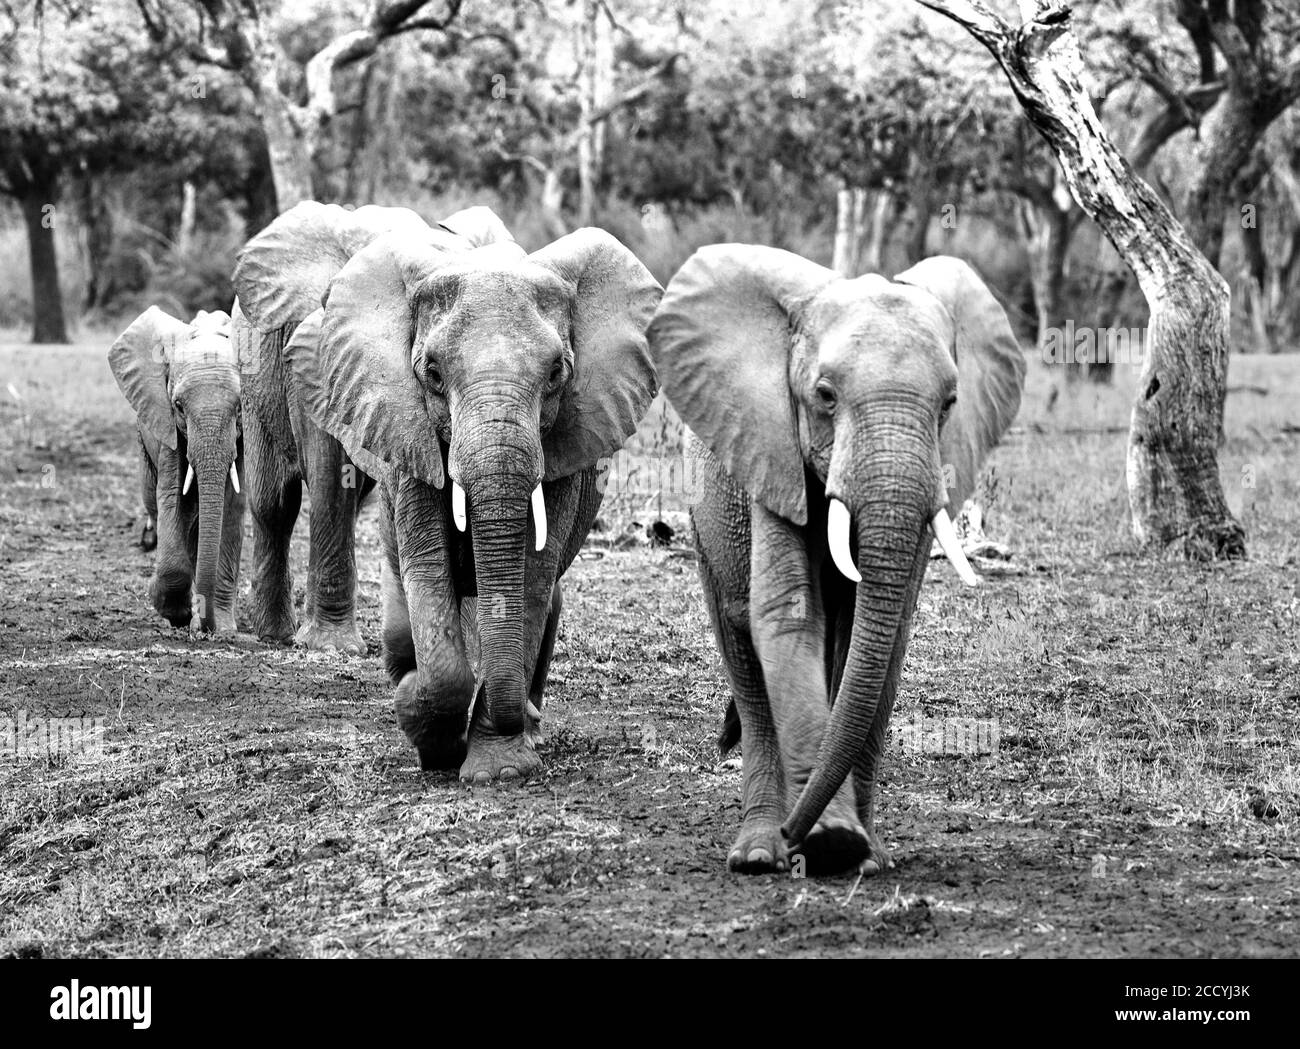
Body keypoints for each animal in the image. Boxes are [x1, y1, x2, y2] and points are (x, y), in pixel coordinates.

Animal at [109, 304, 245, 631]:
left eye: (240, 407)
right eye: (179, 407)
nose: (207, 627)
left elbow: (232, 506)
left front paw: (221, 626)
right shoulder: (167, 427)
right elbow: (172, 498)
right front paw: (173, 611)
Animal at [271, 213, 660, 785]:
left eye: (557, 374)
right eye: (431, 372)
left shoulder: (566, 446)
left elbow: (531, 577)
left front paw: (498, 770)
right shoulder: (408, 430)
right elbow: (429, 571)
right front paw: (424, 725)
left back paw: (530, 726)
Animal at [650, 245, 1024, 878]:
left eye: (950, 404)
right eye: (825, 395)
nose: (793, 831)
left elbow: (883, 639)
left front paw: (861, 854)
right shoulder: (770, 449)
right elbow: (788, 612)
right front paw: (827, 842)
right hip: (704, 517)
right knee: (741, 647)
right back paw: (757, 853)